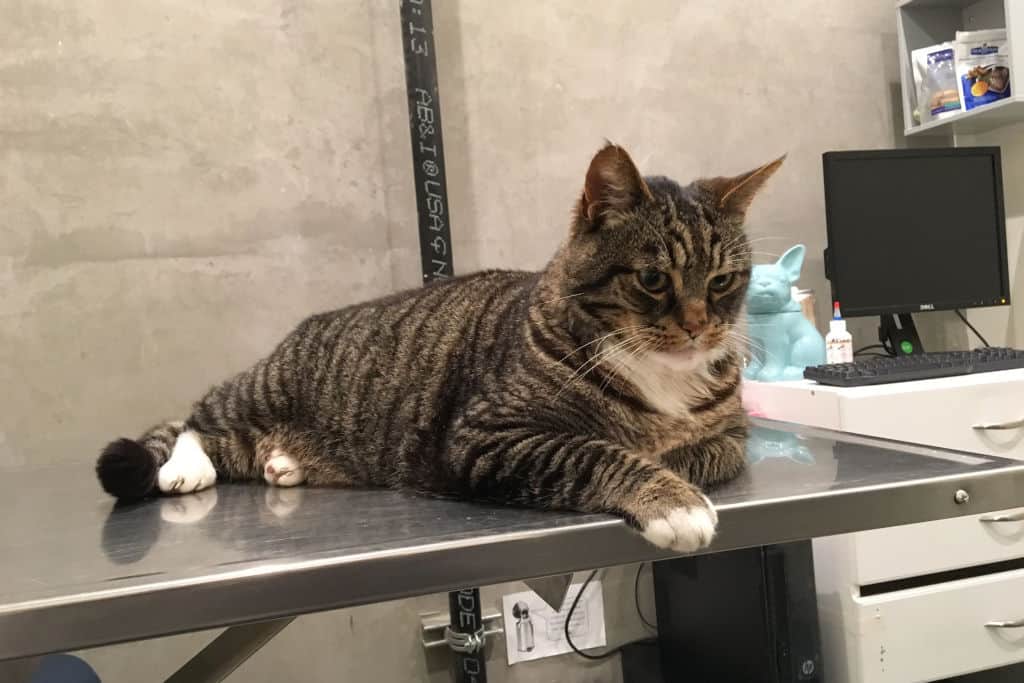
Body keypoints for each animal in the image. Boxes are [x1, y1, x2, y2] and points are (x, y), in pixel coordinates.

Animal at [97, 145, 782, 557]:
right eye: (654, 279)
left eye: (724, 281)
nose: (699, 327)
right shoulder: (485, 436)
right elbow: (593, 451)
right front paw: (672, 501)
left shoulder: (731, 436)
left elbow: (699, 454)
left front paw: (672, 469)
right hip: (263, 386)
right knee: (195, 415)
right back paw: (186, 465)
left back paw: (282, 462)